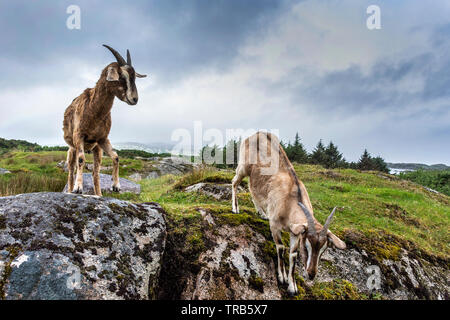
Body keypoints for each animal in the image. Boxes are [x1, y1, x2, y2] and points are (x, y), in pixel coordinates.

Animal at [62, 44, 146, 195]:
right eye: (121, 76)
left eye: (134, 77)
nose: (134, 99)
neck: (94, 111)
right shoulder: (79, 136)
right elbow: (81, 159)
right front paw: (78, 188)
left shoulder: (102, 139)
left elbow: (116, 156)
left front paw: (116, 186)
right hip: (71, 148)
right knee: (71, 170)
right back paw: (71, 190)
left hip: (97, 149)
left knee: (95, 172)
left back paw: (99, 194)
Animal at [230, 132, 346, 296]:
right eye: (307, 246)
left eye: (324, 249)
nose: (311, 274)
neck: (290, 199)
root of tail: (256, 134)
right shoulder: (274, 225)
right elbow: (280, 248)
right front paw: (282, 277)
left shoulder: (295, 231)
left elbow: (293, 254)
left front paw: (293, 286)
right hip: (244, 167)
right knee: (235, 181)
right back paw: (235, 208)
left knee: (252, 189)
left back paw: (261, 212)